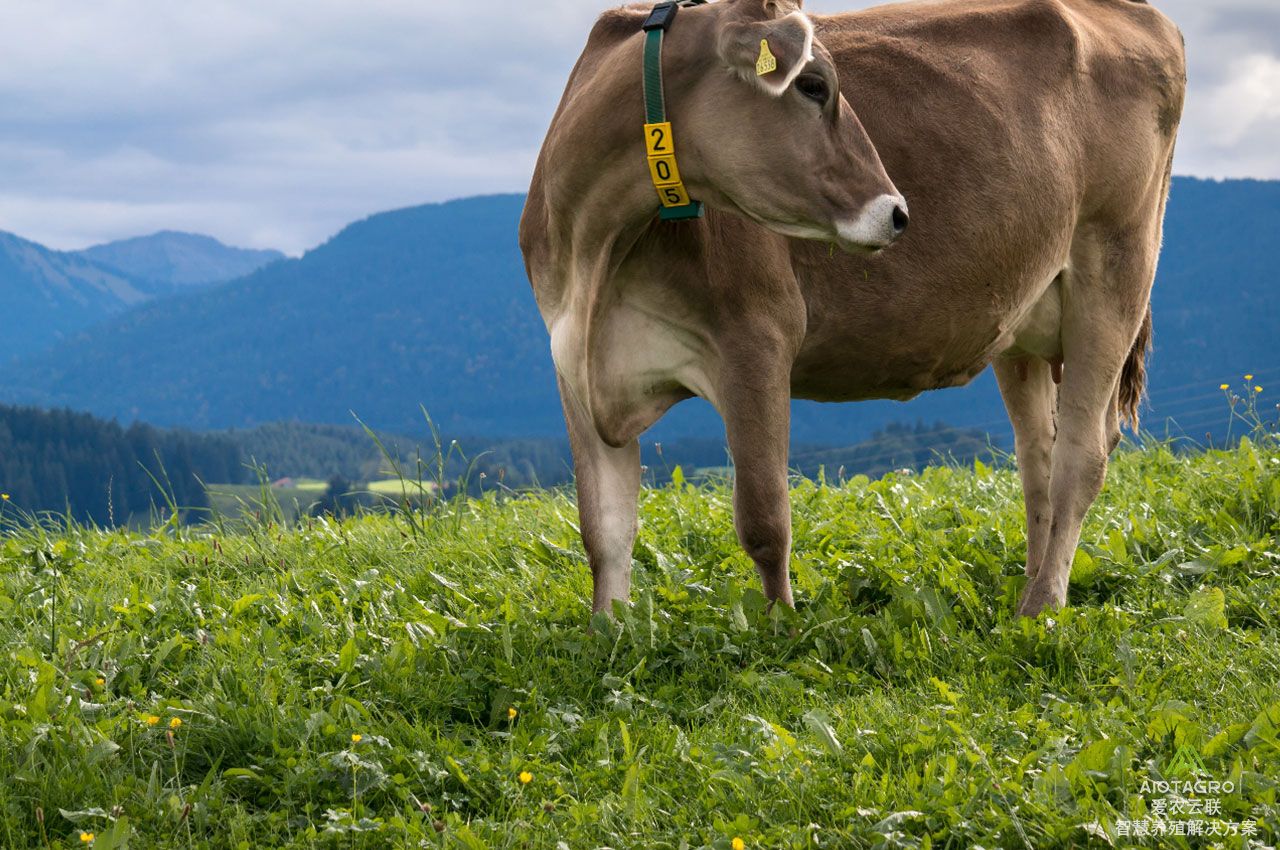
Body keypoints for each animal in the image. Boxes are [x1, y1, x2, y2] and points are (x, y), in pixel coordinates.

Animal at [519, 0, 1187, 617]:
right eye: (813, 86)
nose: (898, 212)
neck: (599, 251)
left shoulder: (756, 338)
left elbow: (764, 520)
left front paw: (782, 631)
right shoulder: (572, 364)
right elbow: (603, 530)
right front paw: (610, 635)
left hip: (1117, 266)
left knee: (1083, 455)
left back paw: (1043, 607)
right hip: (1025, 317)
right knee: (1038, 457)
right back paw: (1030, 586)